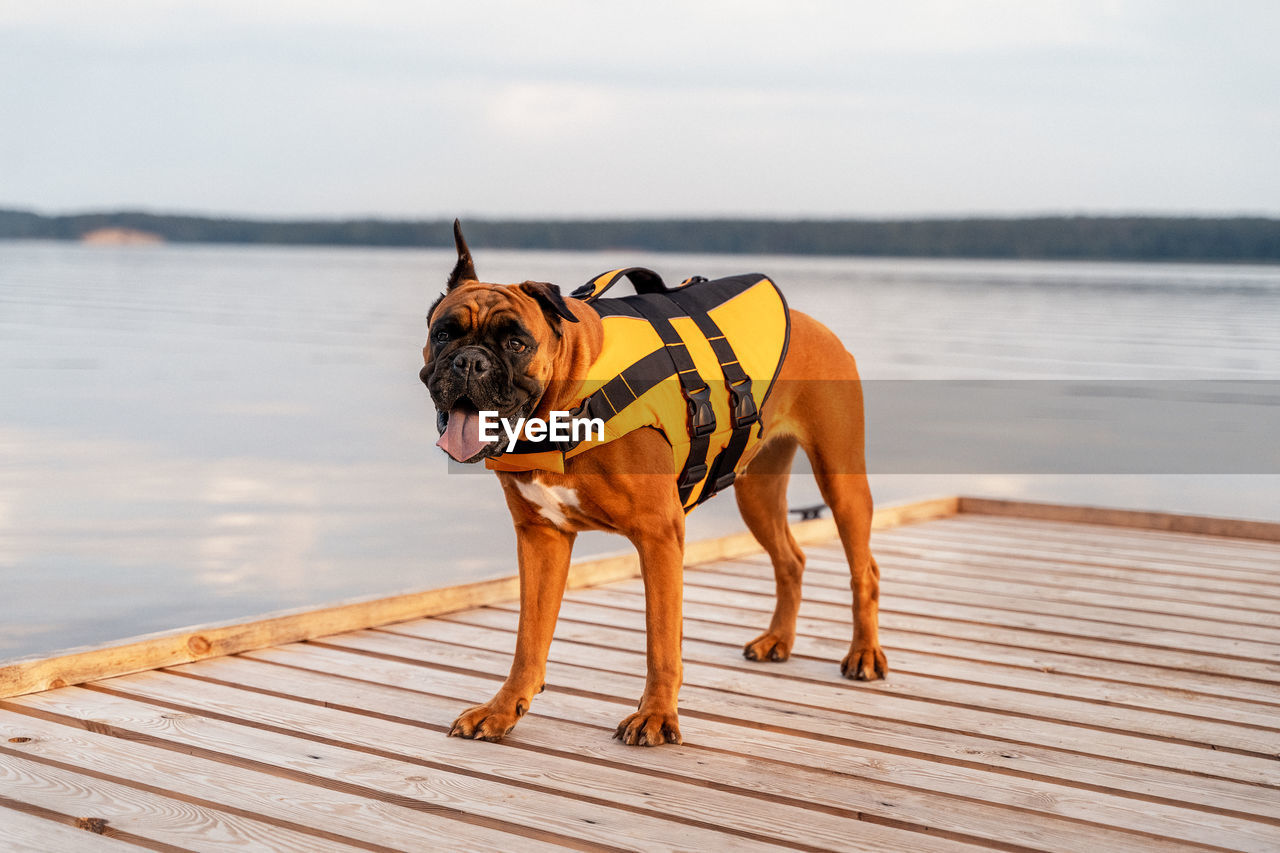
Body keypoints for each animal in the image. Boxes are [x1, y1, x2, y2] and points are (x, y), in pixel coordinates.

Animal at [419, 220, 880, 742]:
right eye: (443, 334)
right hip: (757, 494)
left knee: (864, 570)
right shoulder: (541, 538)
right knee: (791, 560)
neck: (571, 394)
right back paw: (778, 640)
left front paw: (657, 716)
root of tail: (813, 323)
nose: (469, 362)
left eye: (517, 343)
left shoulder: (659, 535)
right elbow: (528, 639)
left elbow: (661, 639)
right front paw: (502, 709)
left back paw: (864, 655)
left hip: (840, 480)